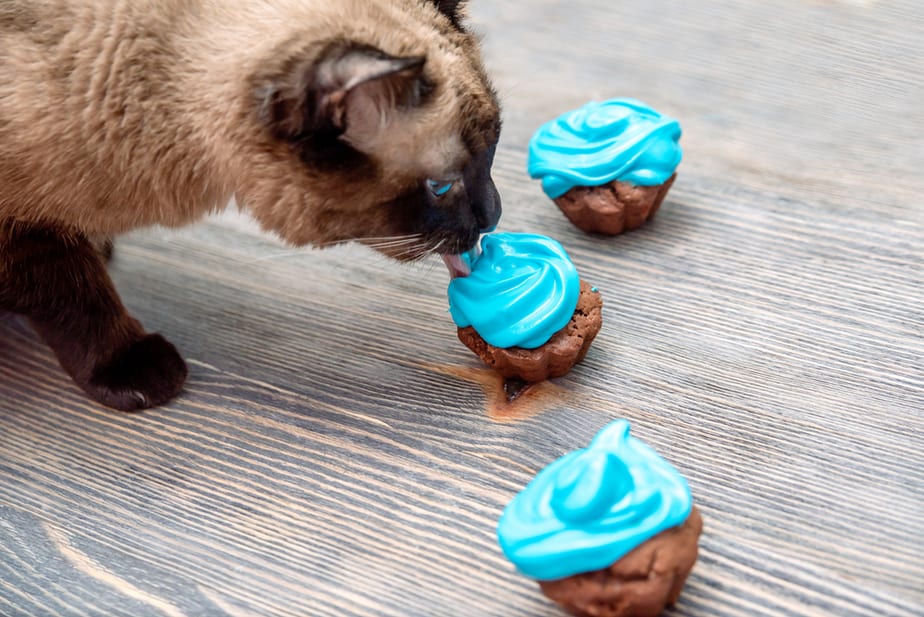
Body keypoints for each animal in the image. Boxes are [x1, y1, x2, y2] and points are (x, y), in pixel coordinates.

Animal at [0, 1, 502, 414]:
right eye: (442, 186)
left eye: (493, 149)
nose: (494, 214)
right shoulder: (20, 234)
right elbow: (78, 295)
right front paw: (133, 366)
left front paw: (99, 247)